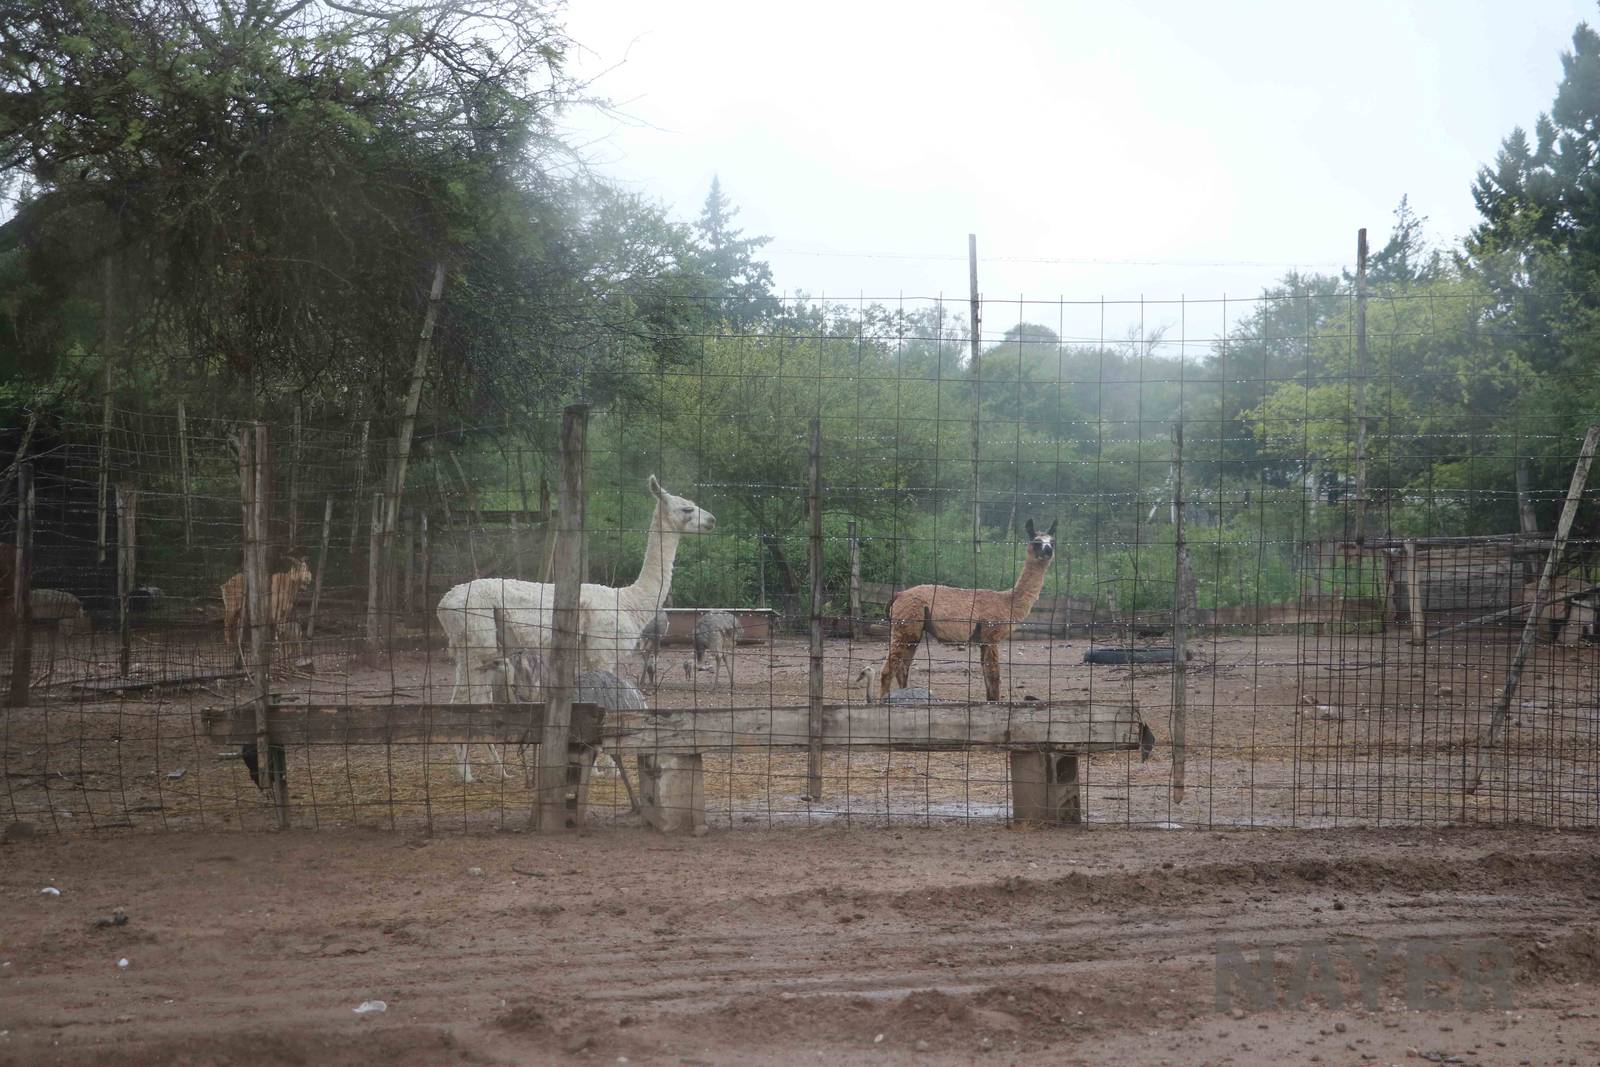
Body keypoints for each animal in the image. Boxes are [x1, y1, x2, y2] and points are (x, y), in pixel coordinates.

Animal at [438, 476, 714, 781]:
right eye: (687, 508)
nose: (712, 520)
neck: (628, 601)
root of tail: (444, 601)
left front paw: (592, 765)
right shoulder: (601, 652)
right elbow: (607, 705)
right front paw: (607, 768)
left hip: (475, 652)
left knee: (464, 701)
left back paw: (495, 771)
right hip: (478, 645)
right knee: (468, 701)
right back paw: (469, 773)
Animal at [879, 519, 1058, 703]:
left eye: (1052, 542)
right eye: (1036, 542)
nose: (1048, 551)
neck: (1008, 601)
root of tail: (898, 594)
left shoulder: (983, 640)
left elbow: (987, 676)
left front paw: (990, 700)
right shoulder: (991, 636)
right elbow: (994, 675)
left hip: (912, 633)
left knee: (902, 668)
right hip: (905, 628)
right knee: (888, 669)